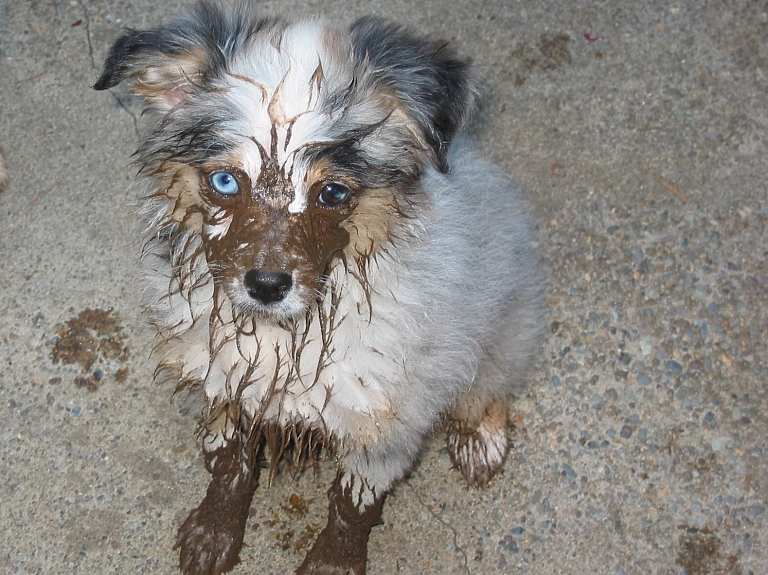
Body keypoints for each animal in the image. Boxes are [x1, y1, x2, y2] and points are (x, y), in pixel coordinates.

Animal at [94, 2, 540, 572]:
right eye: (224, 182)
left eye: (332, 193)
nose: (266, 285)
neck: (284, 335)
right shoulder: (221, 378)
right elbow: (228, 467)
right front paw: (212, 535)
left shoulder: (385, 419)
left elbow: (352, 506)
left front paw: (331, 563)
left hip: (502, 315)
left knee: (491, 381)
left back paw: (479, 440)